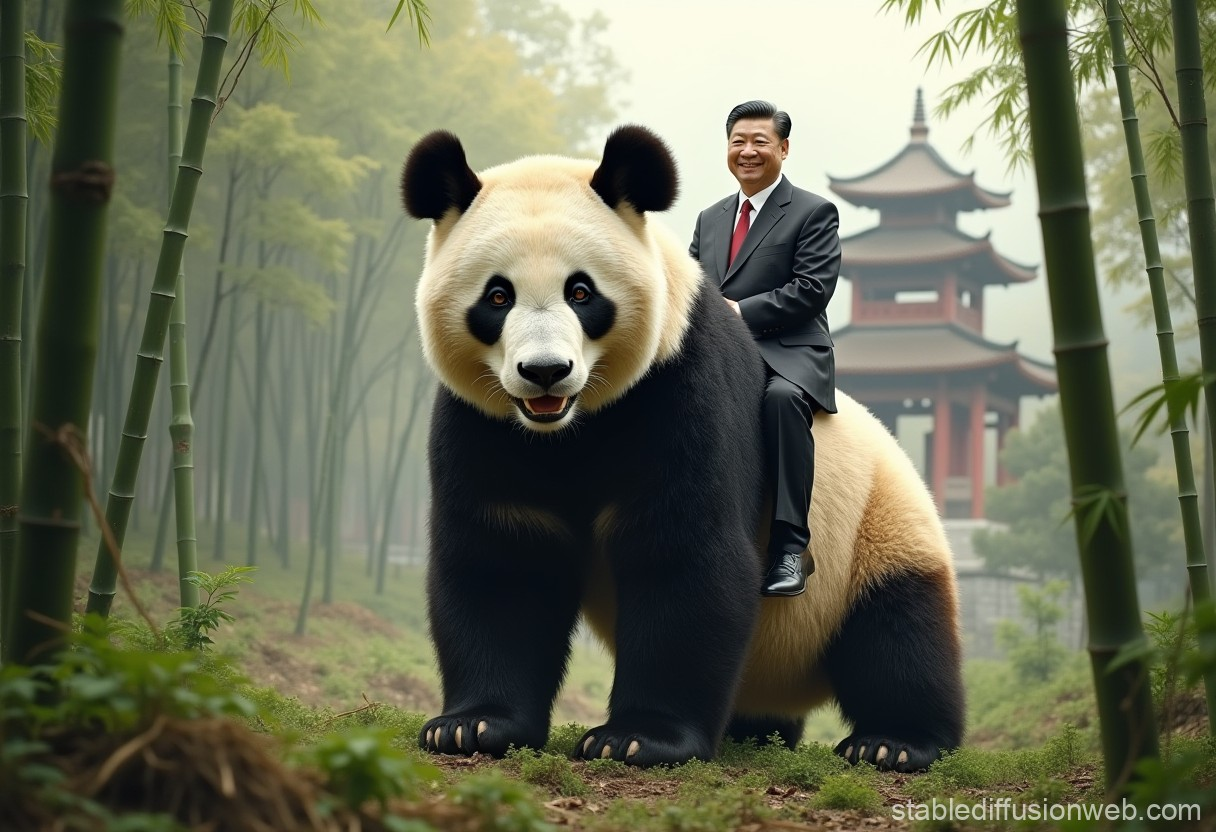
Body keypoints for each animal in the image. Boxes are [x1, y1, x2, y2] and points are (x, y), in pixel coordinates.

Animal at [400, 125, 965, 772]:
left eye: (581, 292)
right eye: (497, 297)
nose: (545, 372)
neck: (567, 429)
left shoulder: (679, 385)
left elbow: (683, 553)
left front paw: (639, 738)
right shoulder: (484, 424)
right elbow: (502, 561)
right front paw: (471, 726)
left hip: (874, 529)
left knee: (899, 630)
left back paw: (895, 742)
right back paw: (757, 730)